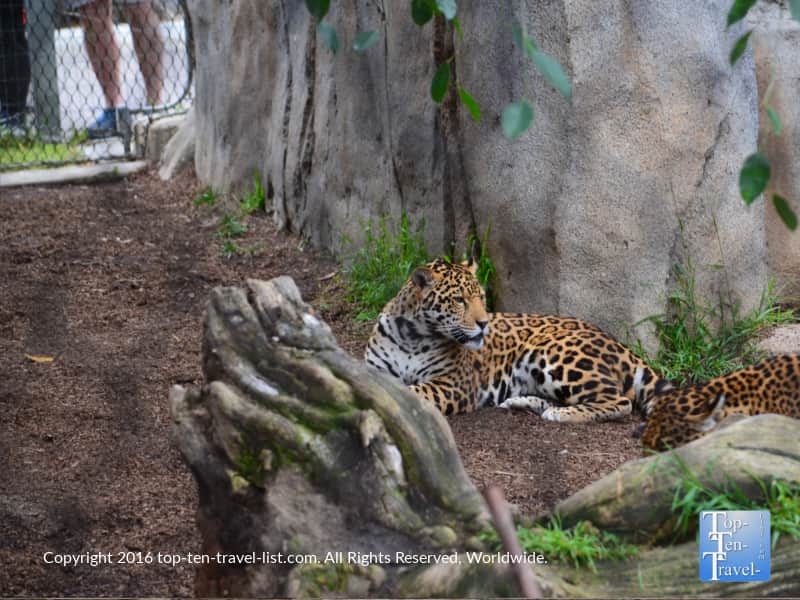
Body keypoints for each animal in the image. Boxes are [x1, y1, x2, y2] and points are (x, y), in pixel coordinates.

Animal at [364, 258, 674, 421]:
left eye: (481, 297)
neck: (412, 336)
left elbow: (416, 390)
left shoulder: (453, 384)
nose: (485, 324)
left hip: (554, 354)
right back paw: (521, 402)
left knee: (619, 400)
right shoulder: (374, 370)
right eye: (459, 300)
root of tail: (619, 344)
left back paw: (559, 415)